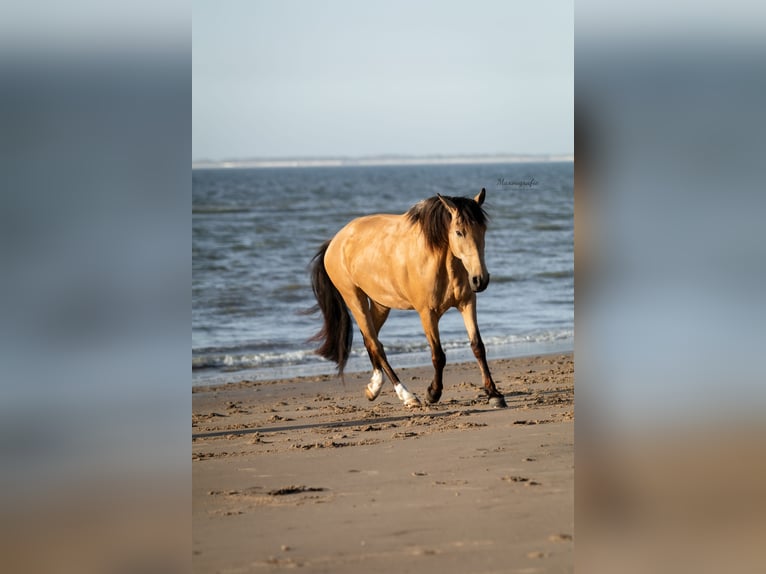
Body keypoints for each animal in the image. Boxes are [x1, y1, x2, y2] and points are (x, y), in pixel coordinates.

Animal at [308, 189, 508, 410]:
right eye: (459, 232)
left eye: (483, 229)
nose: (480, 280)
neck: (439, 262)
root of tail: (335, 242)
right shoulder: (427, 313)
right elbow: (438, 355)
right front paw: (433, 393)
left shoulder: (467, 304)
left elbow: (478, 347)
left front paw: (494, 394)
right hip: (354, 298)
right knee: (376, 344)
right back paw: (406, 395)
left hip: (380, 303)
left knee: (370, 339)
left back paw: (374, 387)